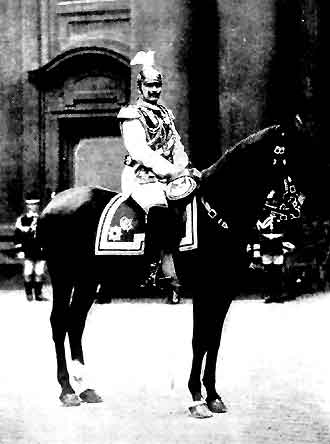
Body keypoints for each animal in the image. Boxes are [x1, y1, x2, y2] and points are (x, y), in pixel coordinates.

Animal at [37, 118, 314, 416]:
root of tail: (52, 204)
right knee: (59, 322)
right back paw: (67, 390)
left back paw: (86, 388)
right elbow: (199, 340)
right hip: (63, 275)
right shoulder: (204, 290)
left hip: (89, 280)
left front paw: (213, 395)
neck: (216, 211)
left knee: (75, 322)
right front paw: (196, 397)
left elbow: (213, 340)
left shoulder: (224, 291)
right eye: (291, 152)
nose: (298, 208)